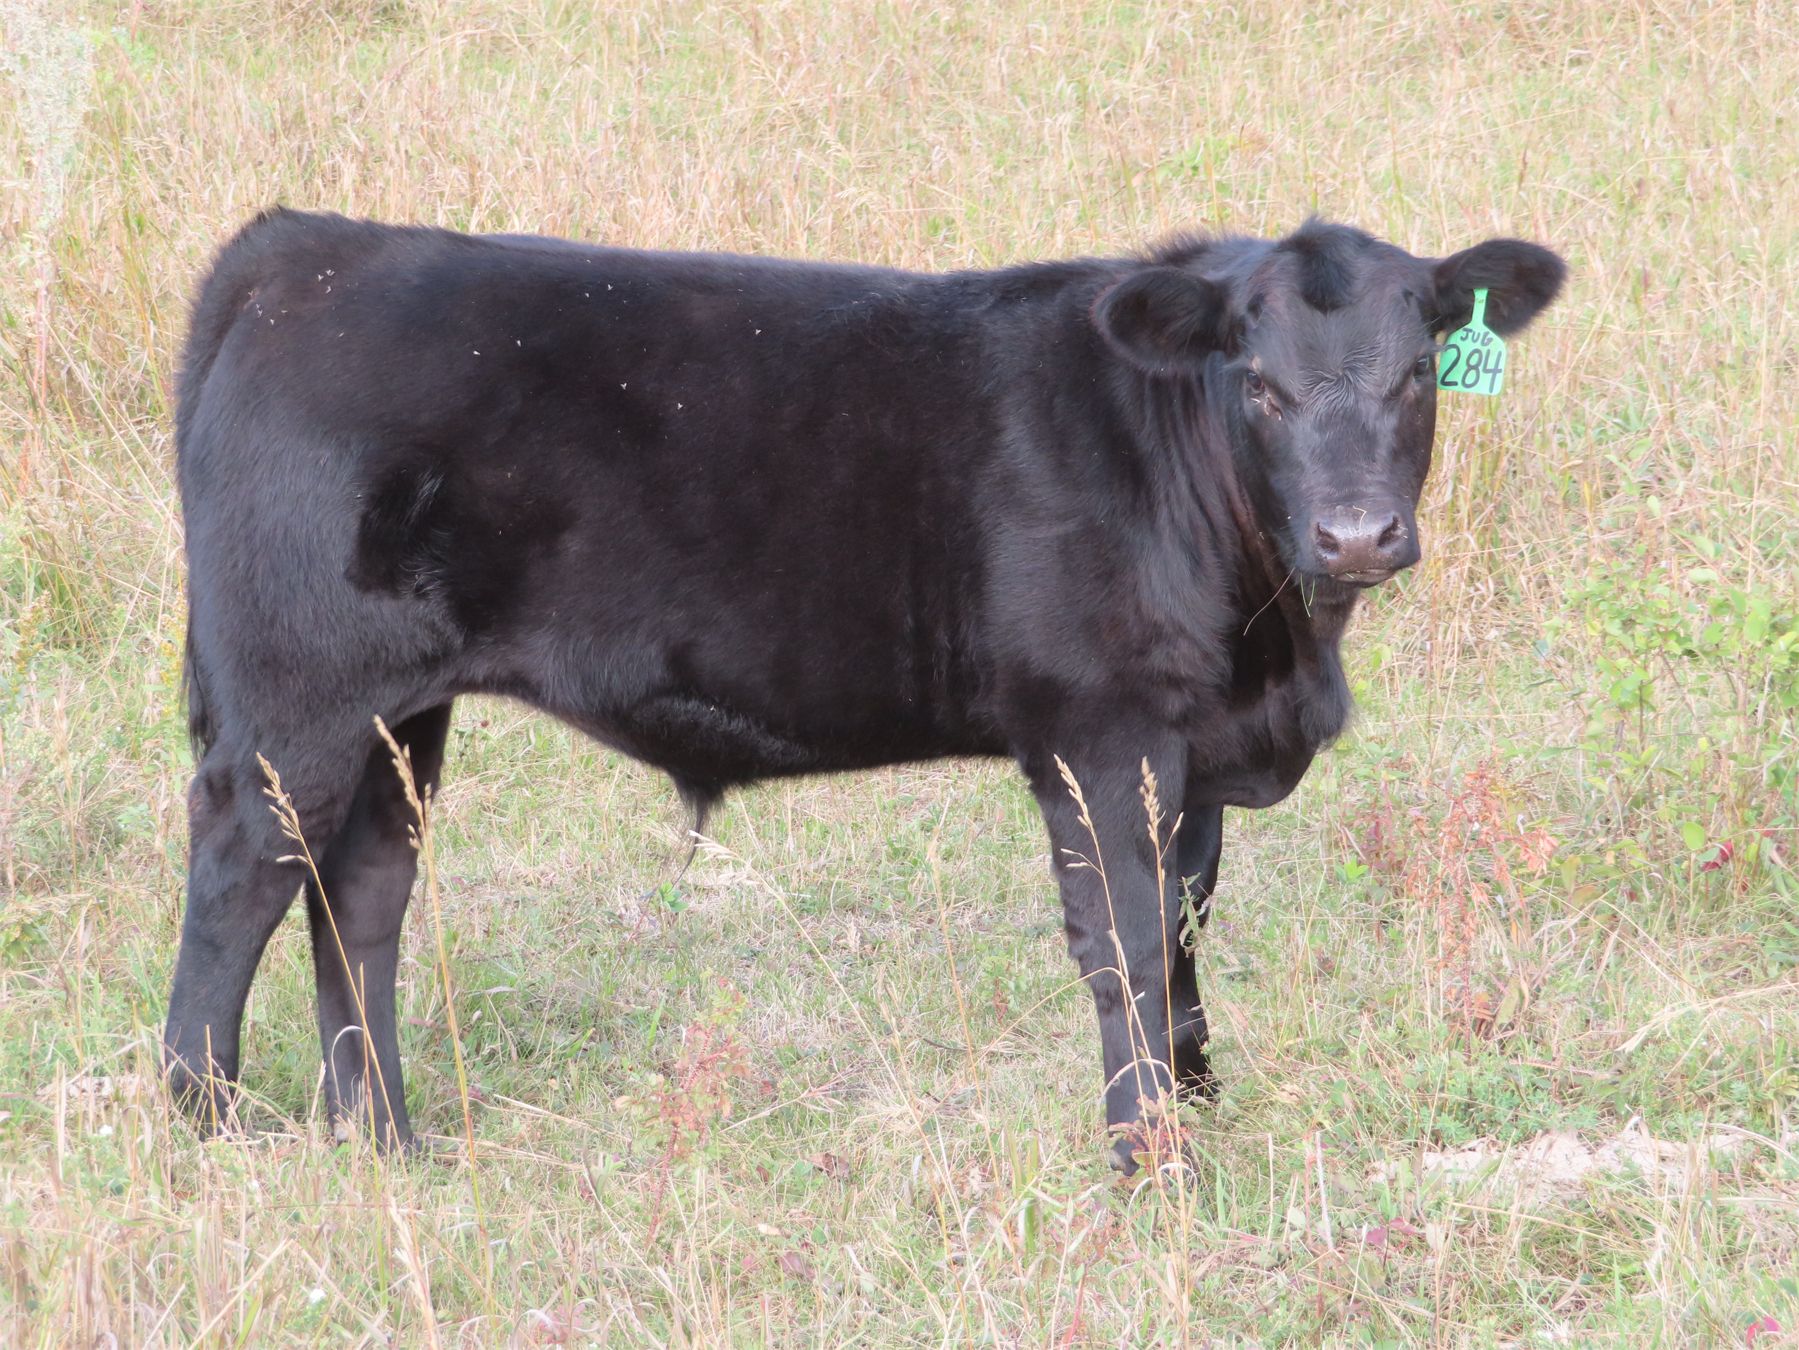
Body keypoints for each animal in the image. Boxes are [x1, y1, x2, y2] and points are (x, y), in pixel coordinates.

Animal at [163, 209, 1564, 1171]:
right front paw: (1147, 1159)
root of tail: (311, 248)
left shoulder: (1192, 734)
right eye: (1259, 385)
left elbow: (1181, 931)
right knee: (241, 875)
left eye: (1415, 373)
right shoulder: (1099, 729)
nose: (1355, 535)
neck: (1271, 644)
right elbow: (1121, 940)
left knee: (360, 890)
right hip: (295, 695)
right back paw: (202, 1131)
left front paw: (1197, 1114)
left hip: (399, 711)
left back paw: (385, 1141)